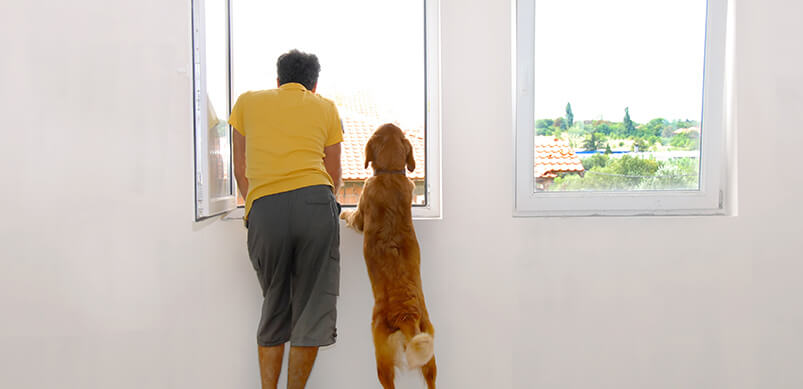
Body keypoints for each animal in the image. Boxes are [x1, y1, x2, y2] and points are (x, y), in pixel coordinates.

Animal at [340, 123, 440, 388]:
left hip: (381, 354)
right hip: (428, 350)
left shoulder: (361, 211)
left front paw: (342, 214)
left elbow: (351, 217)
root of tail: (406, 314)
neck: (391, 174)